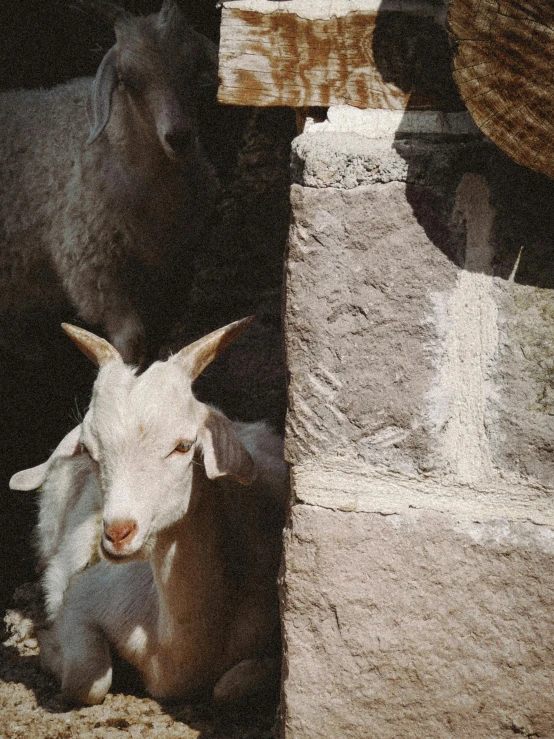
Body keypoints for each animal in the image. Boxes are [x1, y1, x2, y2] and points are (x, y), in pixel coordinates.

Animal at [0, 0, 219, 364]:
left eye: (193, 68)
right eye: (128, 80)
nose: (179, 137)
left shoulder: (173, 272)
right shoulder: (94, 271)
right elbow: (131, 341)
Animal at [10, 318, 286, 704]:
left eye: (183, 446)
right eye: (90, 450)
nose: (117, 533)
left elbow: (228, 688)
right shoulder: (82, 599)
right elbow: (86, 682)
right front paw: (51, 650)